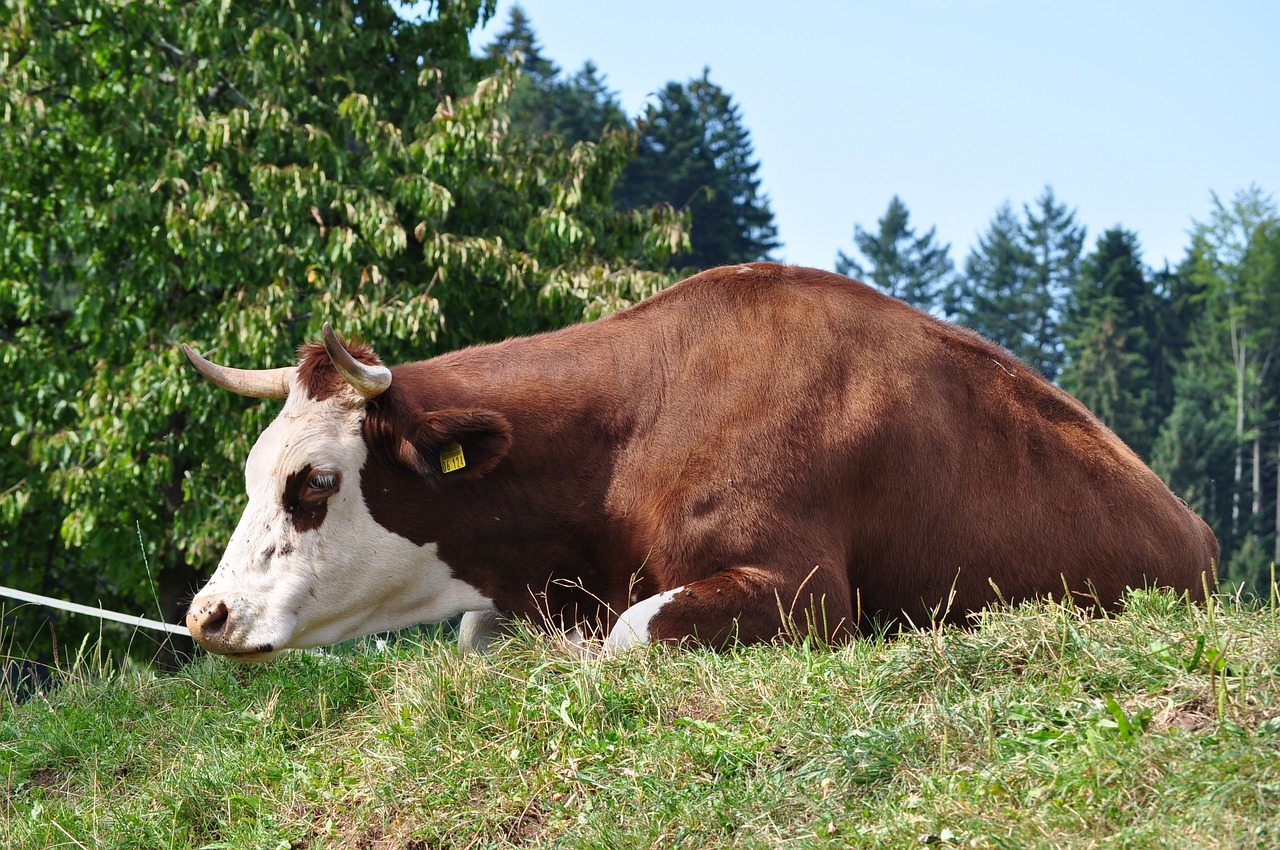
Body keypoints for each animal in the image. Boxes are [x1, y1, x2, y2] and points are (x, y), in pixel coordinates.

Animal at [183, 262, 1218, 660]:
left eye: (314, 482)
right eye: (254, 473)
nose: (206, 614)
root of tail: (1197, 531)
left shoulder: (806, 592)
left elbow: (629, 633)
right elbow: (481, 636)